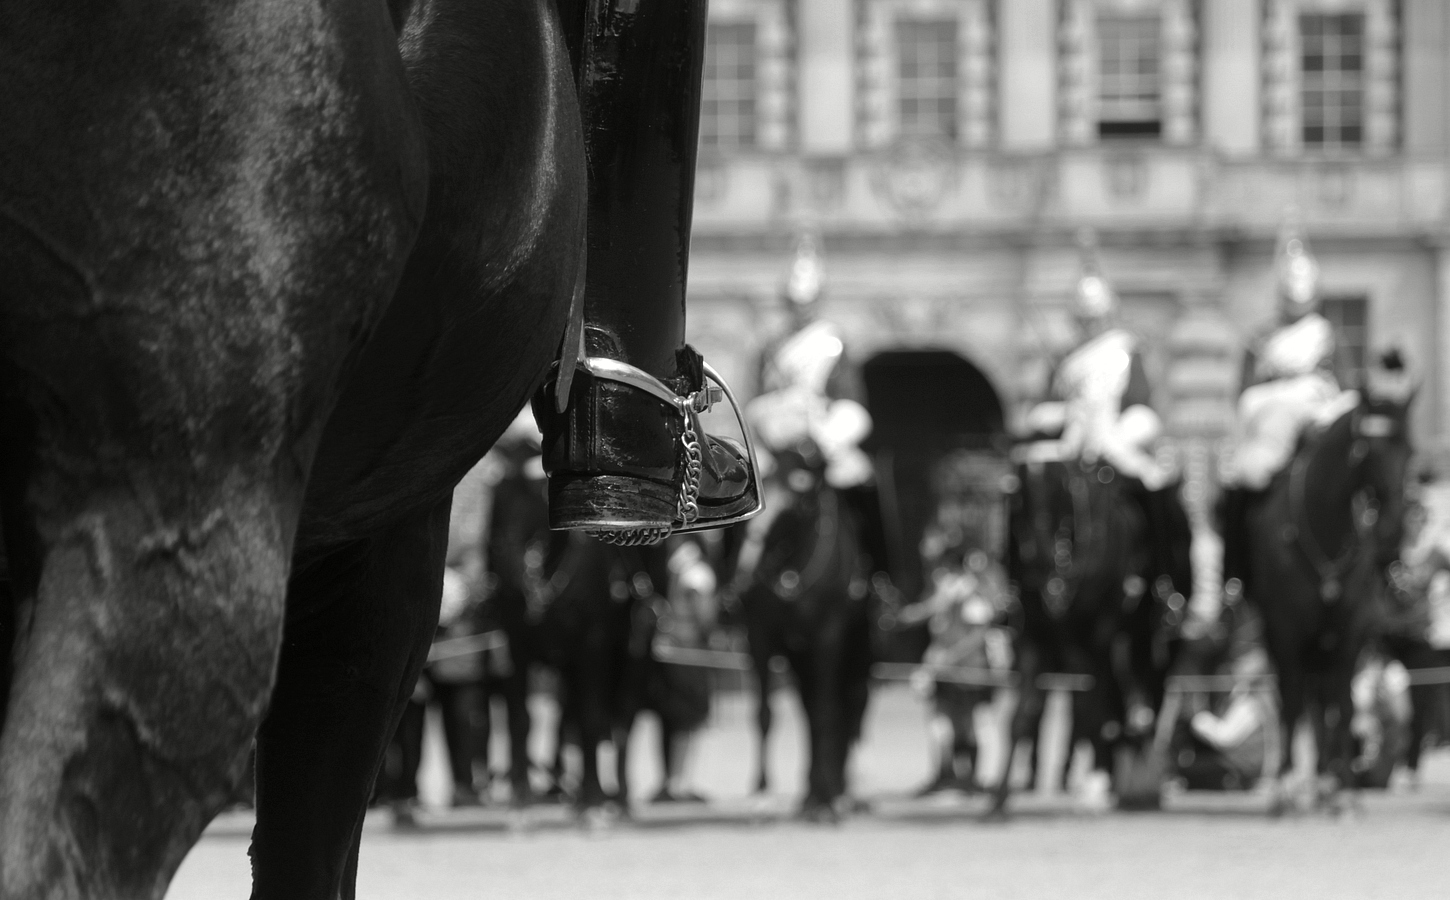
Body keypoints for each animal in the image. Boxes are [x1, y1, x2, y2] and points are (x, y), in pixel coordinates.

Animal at [1247, 382, 1415, 811]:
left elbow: (1344, 703)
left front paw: (1344, 793)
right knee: (1300, 701)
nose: (1392, 529)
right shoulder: (1286, 632)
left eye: (1409, 448)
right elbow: (1291, 701)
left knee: (1324, 703)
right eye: (1367, 450)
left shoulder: (1351, 634)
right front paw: (1285, 789)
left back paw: (1325, 782)